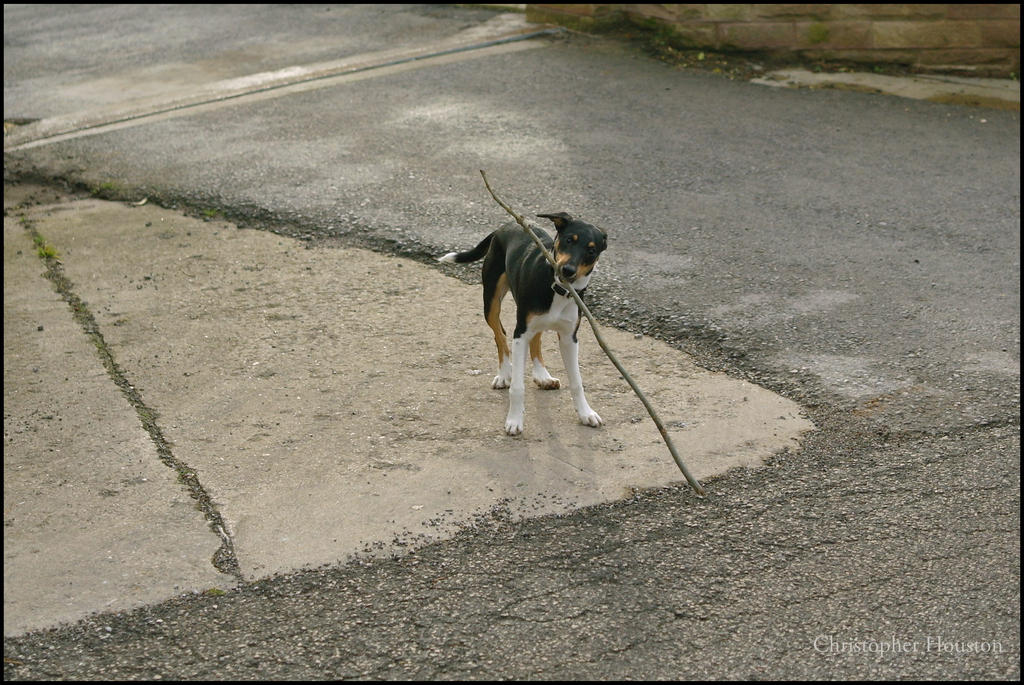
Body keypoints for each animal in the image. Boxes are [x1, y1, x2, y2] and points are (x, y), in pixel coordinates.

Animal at [440, 210, 606, 436]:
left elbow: (577, 382)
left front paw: (585, 413)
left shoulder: (569, 338)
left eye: (591, 250)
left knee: (535, 339)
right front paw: (514, 421)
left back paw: (542, 375)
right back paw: (504, 374)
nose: (568, 270)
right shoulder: (520, 334)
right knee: (499, 334)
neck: (557, 288)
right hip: (491, 302)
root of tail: (506, 226)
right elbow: (517, 387)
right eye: (569, 240)